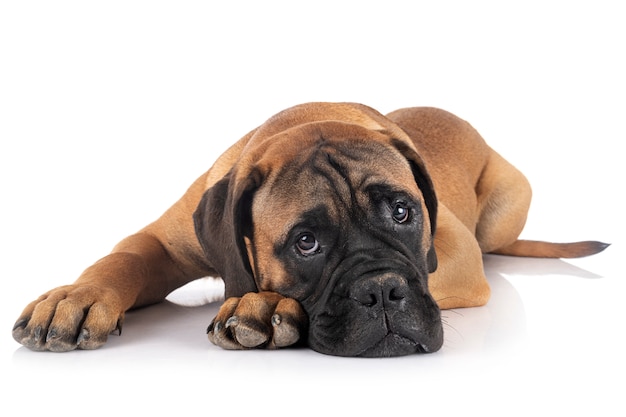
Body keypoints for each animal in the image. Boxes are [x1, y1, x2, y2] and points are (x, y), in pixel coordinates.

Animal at [11, 102, 604, 356]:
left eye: (403, 213)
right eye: (306, 242)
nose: (381, 293)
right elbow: (122, 257)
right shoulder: (163, 241)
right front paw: (75, 298)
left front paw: (264, 306)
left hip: (505, 207)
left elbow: (431, 267)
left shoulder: (455, 252)